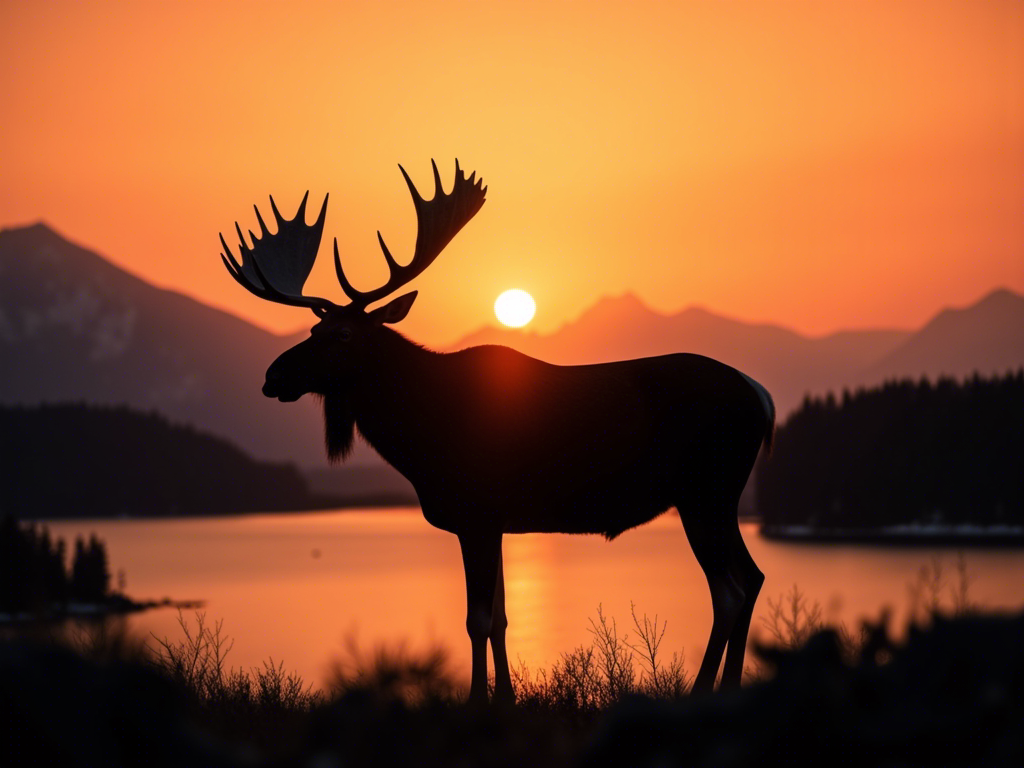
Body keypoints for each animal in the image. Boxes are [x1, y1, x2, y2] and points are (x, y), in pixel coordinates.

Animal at [219, 160, 775, 704]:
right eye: (314, 329)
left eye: (342, 335)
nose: (273, 376)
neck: (418, 436)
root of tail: (762, 398)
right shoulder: (499, 521)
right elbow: (503, 618)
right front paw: (505, 698)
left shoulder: (477, 514)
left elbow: (477, 619)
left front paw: (476, 703)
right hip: (711, 498)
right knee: (747, 580)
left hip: (707, 493)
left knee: (733, 587)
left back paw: (709, 691)